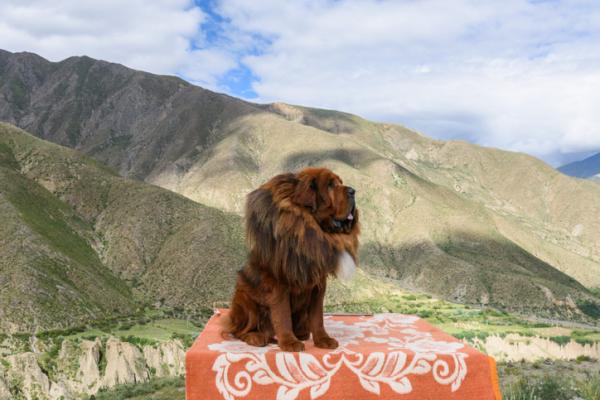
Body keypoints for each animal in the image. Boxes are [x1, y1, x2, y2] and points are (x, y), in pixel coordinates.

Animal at [221, 167, 358, 352]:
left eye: (340, 183)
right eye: (330, 185)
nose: (353, 191)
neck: (308, 230)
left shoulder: (318, 285)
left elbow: (318, 317)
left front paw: (323, 339)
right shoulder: (279, 285)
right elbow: (283, 314)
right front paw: (289, 342)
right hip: (245, 299)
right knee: (238, 331)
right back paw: (256, 336)